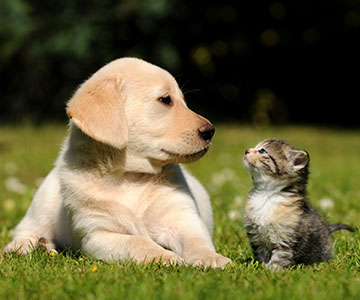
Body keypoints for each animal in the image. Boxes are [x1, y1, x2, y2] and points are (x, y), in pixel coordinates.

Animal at [3, 57, 231, 268]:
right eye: (165, 100)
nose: (210, 131)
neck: (130, 177)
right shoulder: (98, 234)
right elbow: (138, 242)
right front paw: (166, 258)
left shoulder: (182, 218)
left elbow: (196, 240)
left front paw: (211, 258)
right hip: (43, 204)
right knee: (25, 229)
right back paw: (23, 247)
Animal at [243, 139, 352, 270]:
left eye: (262, 151)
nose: (246, 150)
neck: (267, 195)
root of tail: (326, 229)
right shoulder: (258, 238)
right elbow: (261, 255)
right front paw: (260, 268)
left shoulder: (286, 239)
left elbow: (280, 257)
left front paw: (272, 270)